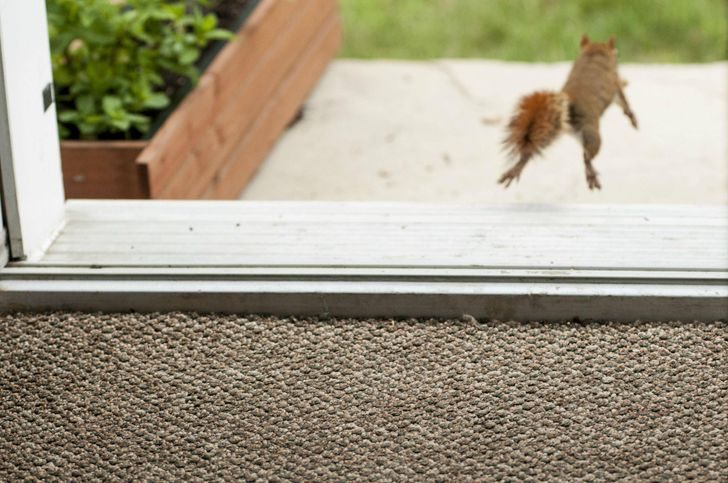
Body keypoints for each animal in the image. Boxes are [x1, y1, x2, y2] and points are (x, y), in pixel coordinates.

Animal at [500, 35, 636, 190]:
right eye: (617, 54)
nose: (618, 57)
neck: (593, 53)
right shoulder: (615, 83)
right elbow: (624, 101)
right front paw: (633, 118)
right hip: (591, 133)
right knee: (586, 157)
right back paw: (591, 175)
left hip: (551, 128)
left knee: (532, 150)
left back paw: (515, 169)